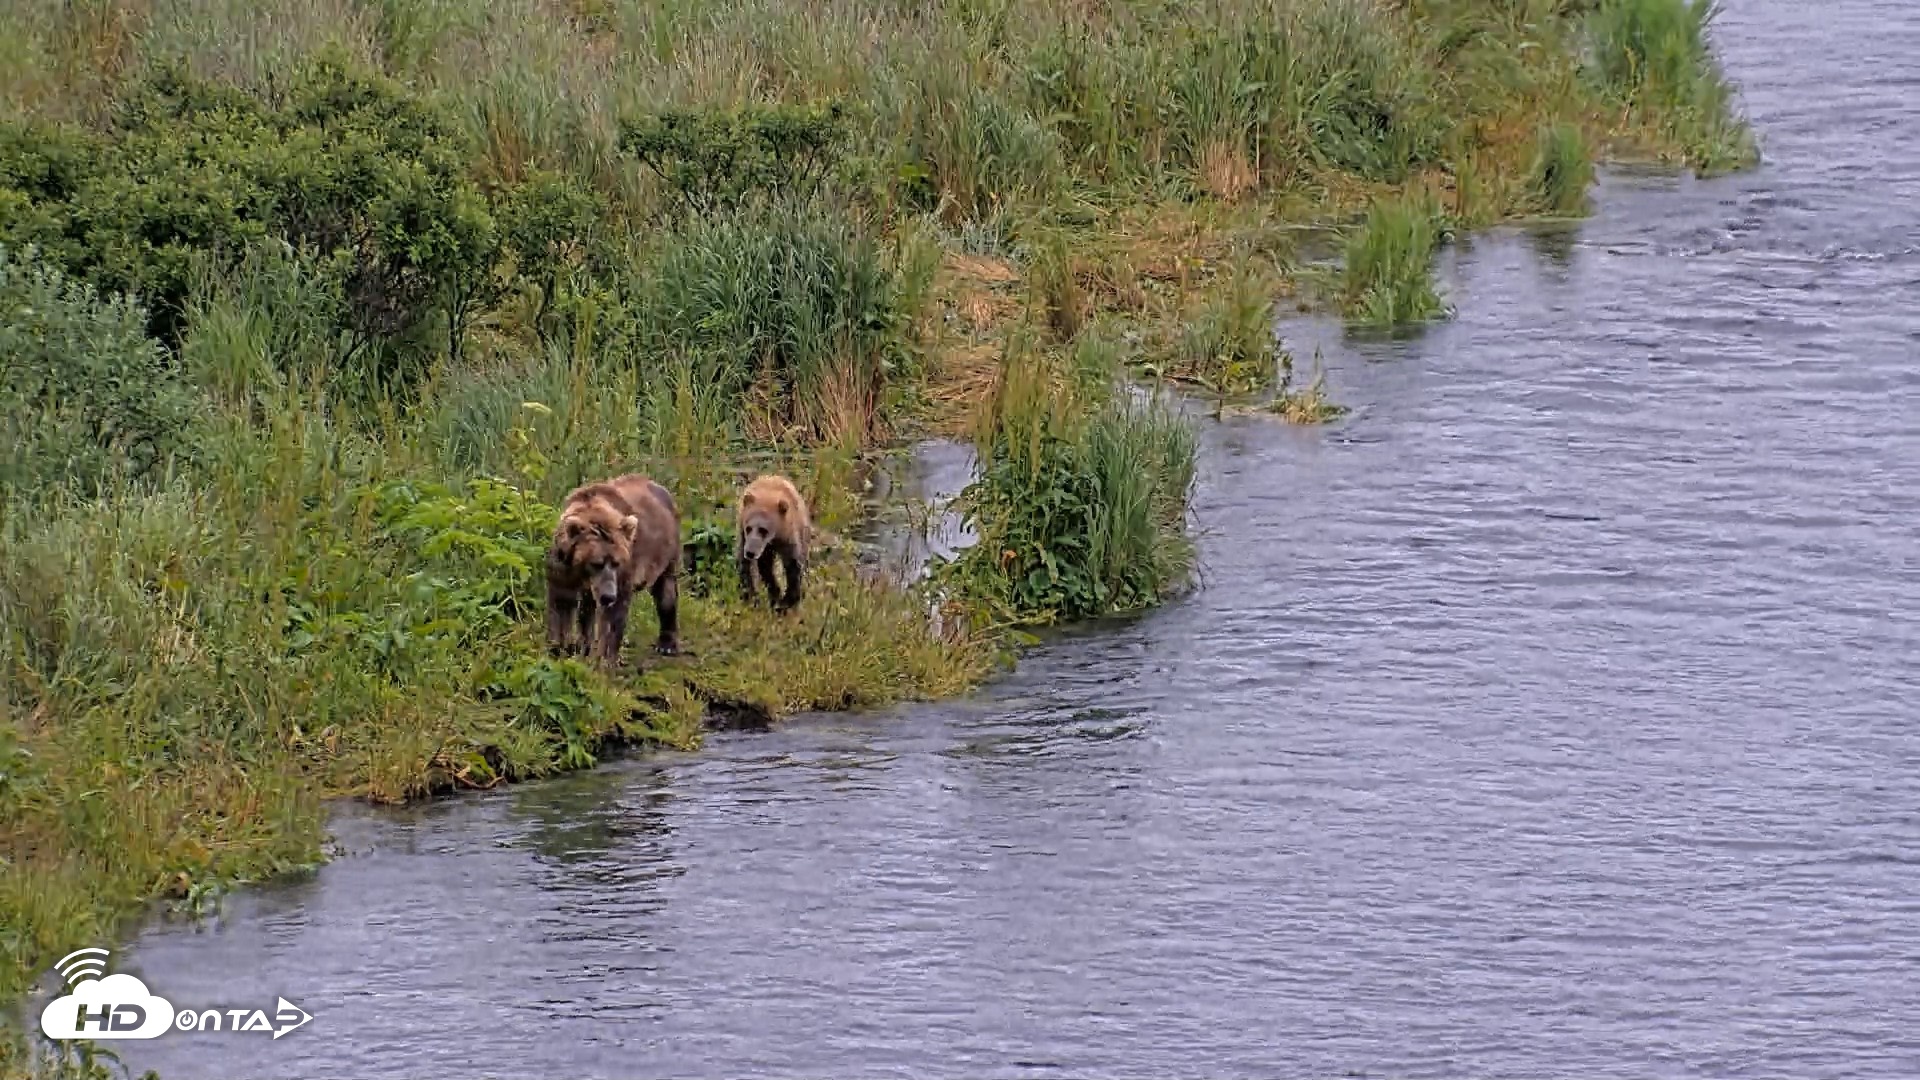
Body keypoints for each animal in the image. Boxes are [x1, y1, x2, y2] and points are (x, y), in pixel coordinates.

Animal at [545, 473, 682, 670]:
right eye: (596, 563)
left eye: (616, 562)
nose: (608, 596)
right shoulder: (563, 566)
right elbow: (561, 602)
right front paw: (557, 650)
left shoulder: (624, 572)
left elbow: (613, 617)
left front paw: (604, 659)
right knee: (587, 608)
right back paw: (583, 645)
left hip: (667, 552)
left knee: (666, 592)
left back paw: (667, 644)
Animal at [736, 474, 811, 613]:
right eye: (748, 528)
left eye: (763, 530)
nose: (750, 553)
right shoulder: (744, 535)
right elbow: (754, 566)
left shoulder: (788, 537)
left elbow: (793, 565)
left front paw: (787, 601)